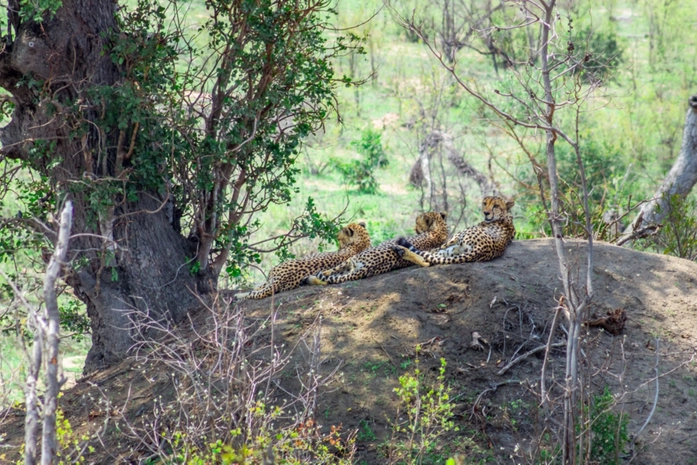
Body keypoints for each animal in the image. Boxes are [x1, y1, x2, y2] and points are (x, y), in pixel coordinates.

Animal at [235, 222, 370, 300]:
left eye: (338, 238)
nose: (338, 247)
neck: (361, 243)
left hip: (272, 275)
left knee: (255, 291)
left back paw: (238, 295)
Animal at [304, 211, 446, 286]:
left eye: (417, 222)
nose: (414, 228)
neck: (439, 231)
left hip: (350, 262)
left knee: (328, 274)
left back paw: (310, 278)